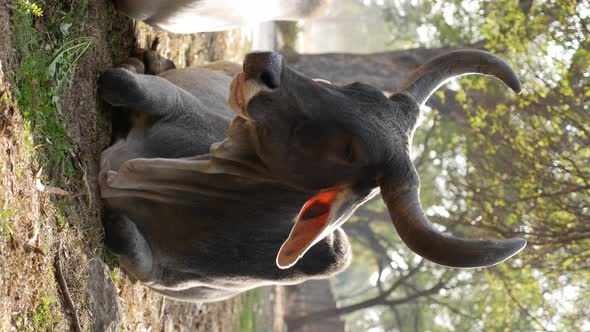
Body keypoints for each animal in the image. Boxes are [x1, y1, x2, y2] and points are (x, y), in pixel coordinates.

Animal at [97, 44, 528, 304]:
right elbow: (120, 80)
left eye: (349, 150)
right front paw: (135, 66)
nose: (265, 65)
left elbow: (122, 235)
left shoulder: (158, 275)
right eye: (357, 86)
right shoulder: (176, 102)